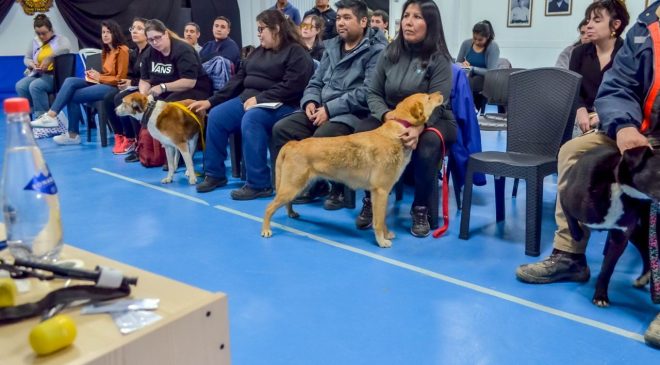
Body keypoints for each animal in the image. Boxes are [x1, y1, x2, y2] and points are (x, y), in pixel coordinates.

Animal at [262, 91, 444, 247]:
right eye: (428, 97)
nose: (441, 93)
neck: (397, 133)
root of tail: (293, 144)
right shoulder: (381, 192)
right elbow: (379, 222)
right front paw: (381, 241)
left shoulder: (382, 193)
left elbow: (383, 219)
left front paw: (386, 234)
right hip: (292, 186)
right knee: (269, 208)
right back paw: (266, 230)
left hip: (298, 186)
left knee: (286, 203)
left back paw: (291, 214)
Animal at [564, 144, 660, 306]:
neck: (619, 189)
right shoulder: (567, 198)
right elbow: (567, 213)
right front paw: (577, 234)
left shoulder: (620, 239)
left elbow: (607, 269)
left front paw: (600, 296)